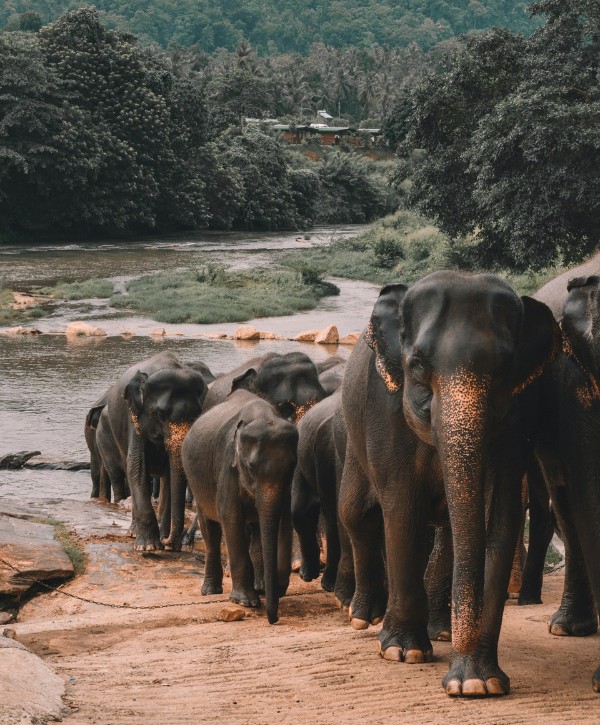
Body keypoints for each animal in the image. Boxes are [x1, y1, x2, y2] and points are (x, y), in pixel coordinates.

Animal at [99, 350, 207, 548]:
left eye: (197, 414)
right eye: (160, 414)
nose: (168, 541)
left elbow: (170, 475)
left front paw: (166, 543)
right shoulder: (134, 417)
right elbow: (136, 467)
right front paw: (148, 546)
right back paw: (134, 533)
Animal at [180, 390, 298, 624]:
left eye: (291, 467)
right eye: (251, 467)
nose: (273, 620)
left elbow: (278, 520)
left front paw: (272, 589)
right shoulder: (228, 467)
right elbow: (230, 517)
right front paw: (245, 602)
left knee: (255, 529)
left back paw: (259, 586)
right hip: (198, 482)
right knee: (211, 529)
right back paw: (211, 591)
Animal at [338, 270, 556, 696]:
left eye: (506, 368)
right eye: (418, 365)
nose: (455, 677)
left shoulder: (520, 414)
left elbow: (499, 517)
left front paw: (477, 683)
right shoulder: (384, 409)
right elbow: (401, 510)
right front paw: (403, 653)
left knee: (448, 533)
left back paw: (440, 631)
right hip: (354, 435)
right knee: (356, 514)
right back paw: (365, 619)